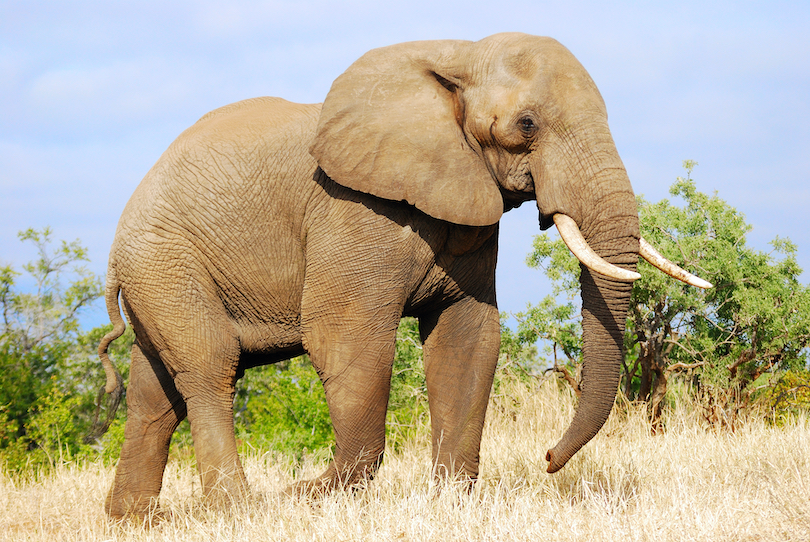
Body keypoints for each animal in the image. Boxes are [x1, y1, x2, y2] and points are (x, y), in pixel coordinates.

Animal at [99, 31, 708, 520]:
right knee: (209, 366)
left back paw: (135, 519)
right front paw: (312, 496)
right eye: (527, 124)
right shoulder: (354, 211)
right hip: (164, 258)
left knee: (156, 394)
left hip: (157, 273)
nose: (549, 458)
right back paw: (238, 510)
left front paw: (450, 502)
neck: (457, 57)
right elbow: (345, 338)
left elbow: (468, 338)